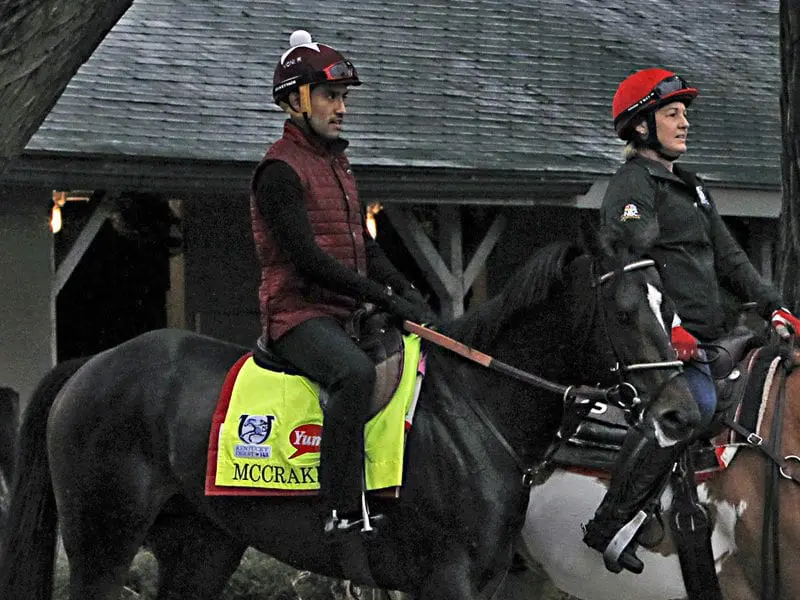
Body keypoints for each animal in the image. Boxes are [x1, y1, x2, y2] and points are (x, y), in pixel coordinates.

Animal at [0, 234, 696, 600]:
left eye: (671, 306)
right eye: (626, 311)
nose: (681, 414)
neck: (477, 407)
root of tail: (92, 364)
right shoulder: (446, 579)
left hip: (203, 546)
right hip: (103, 544)